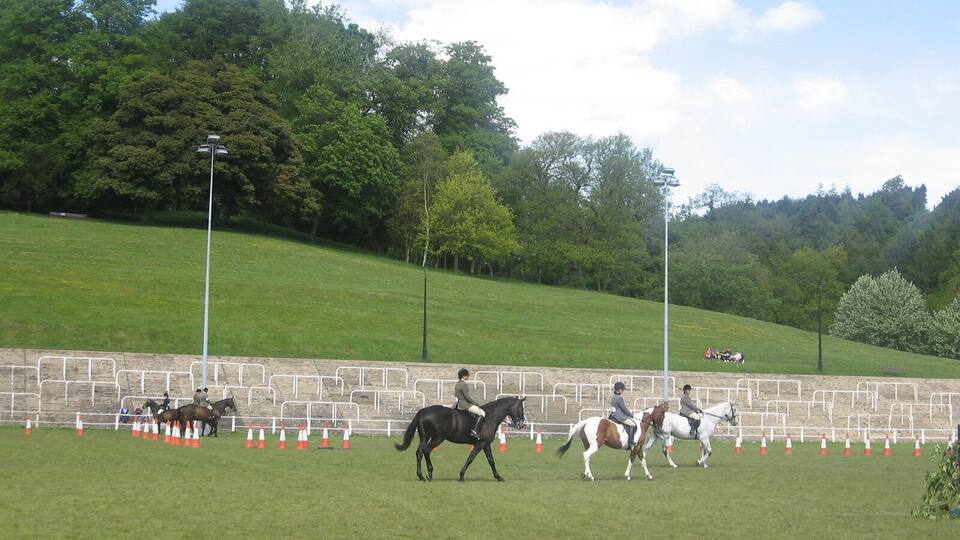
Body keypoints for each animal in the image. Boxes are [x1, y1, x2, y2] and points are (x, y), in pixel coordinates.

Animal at [395, 397, 526, 482]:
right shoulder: (481, 444)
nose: (521, 424)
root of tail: (422, 411)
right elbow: (470, 459)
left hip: (425, 437)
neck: (490, 416)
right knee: (426, 450)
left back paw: (421, 476)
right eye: (521, 408)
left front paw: (498, 477)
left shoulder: (486, 444)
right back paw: (430, 474)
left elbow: (491, 460)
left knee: (419, 452)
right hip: (438, 438)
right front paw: (462, 476)